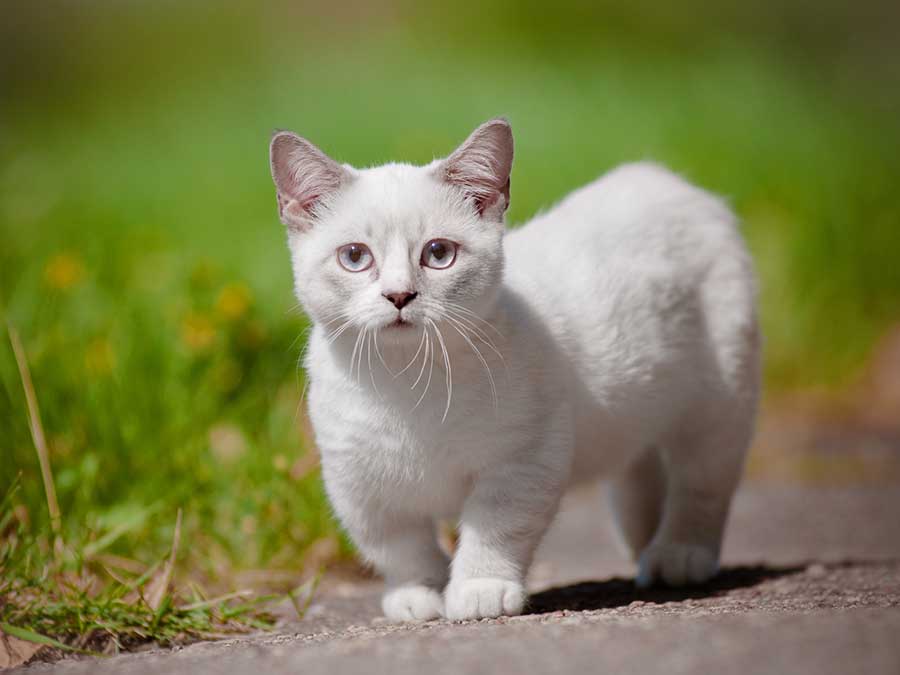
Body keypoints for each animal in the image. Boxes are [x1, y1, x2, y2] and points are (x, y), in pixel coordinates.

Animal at [266, 117, 760, 624]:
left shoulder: (522, 460)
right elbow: (399, 547)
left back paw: (678, 554)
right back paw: (645, 549)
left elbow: (494, 531)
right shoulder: (358, 483)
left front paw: (479, 589)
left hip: (718, 402)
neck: (406, 383)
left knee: (701, 484)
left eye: (438, 253)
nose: (399, 295)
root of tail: (662, 178)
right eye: (355, 257)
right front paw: (417, 594)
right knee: (639, 475)